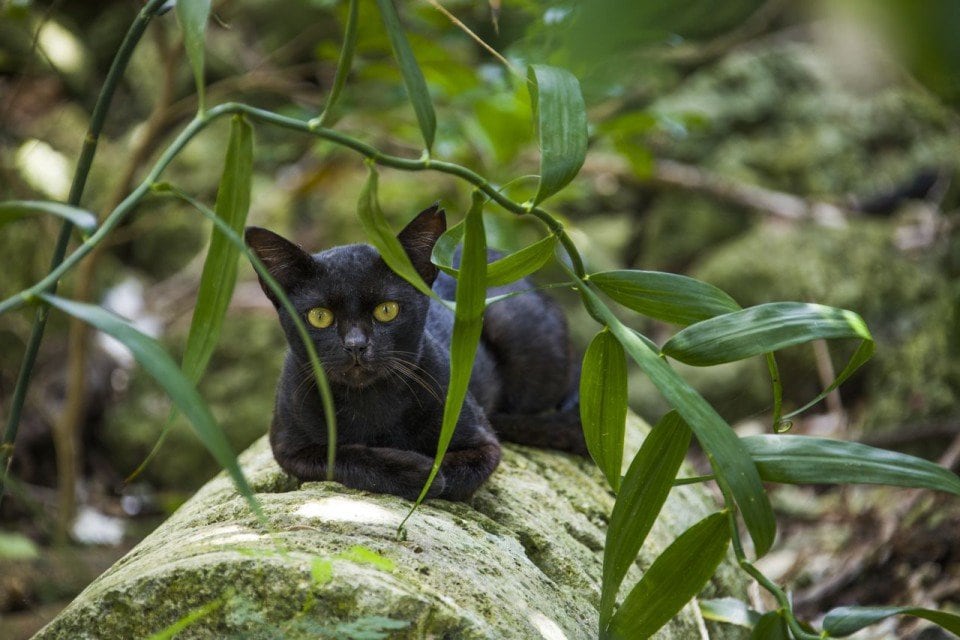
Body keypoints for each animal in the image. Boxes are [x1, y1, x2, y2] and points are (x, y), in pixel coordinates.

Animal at [244, 205, 584, 500]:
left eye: (387, 310)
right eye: (319, 316)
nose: (356, 345)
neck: (369, 404)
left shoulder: (484, 442)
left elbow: (453, 475)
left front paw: (429, 472)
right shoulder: (289, 446)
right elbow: (340, 457)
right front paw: (412, 469)